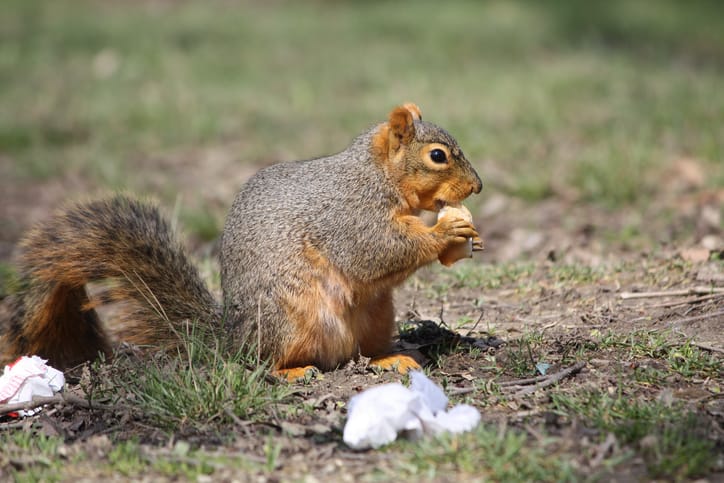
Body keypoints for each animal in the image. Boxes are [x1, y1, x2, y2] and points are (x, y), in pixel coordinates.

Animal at [0, 103, 482, 380]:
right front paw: (445, 233)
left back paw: (389, 359)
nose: (477, 187)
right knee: (265, 362)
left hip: (378, 316)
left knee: (360, 351)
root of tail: (231, 338)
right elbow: (376, 251)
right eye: (437, 156)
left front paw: (465, 241)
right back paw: (293, 372)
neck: (376, 175)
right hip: (288, 318)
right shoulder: (348, 216)